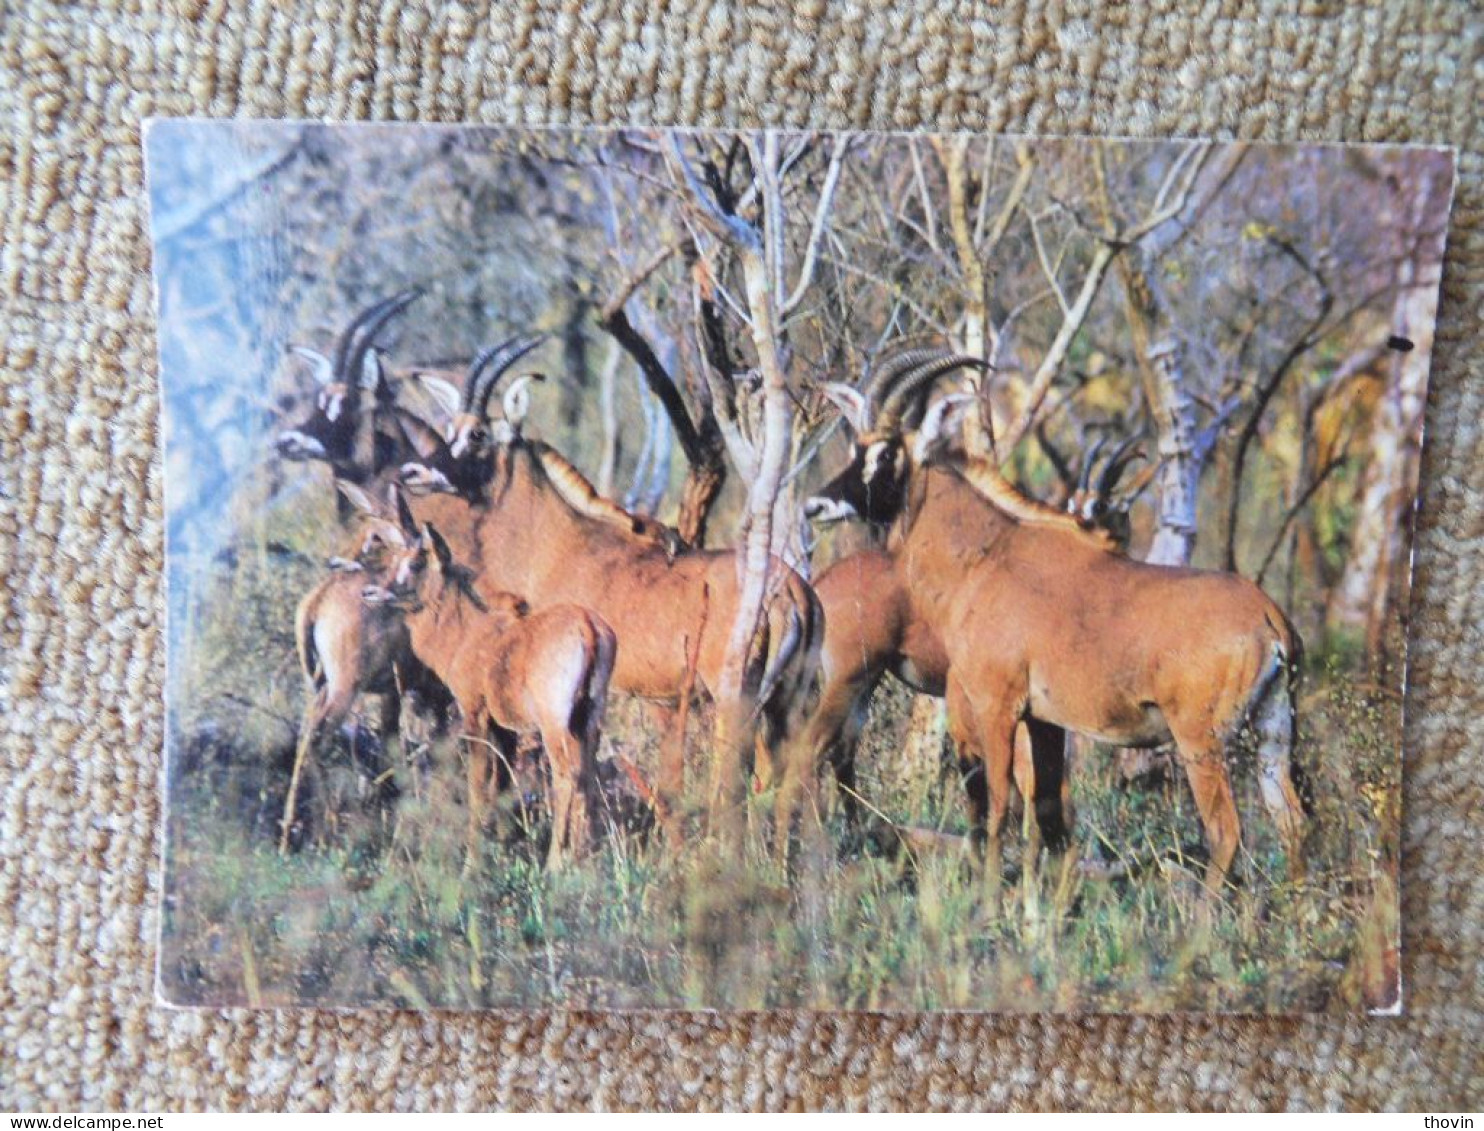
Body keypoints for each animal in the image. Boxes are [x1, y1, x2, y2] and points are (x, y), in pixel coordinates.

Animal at [807, 353, 1305, 896]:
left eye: (885, 453)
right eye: (855, 447)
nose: (816, 505)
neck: (987, 557)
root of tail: (1268, 616)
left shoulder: (996, 707)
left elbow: (997, 810)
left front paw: (989, 903)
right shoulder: (1043, 721)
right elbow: (1050, 820)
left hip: (1201, 743)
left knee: (1226, 832)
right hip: (1274, 735)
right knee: (1292, 823)